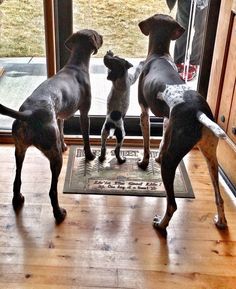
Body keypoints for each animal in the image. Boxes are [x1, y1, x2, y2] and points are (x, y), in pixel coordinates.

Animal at [0, 28, 103, 223]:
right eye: (97, 35)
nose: (102, 37)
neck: (76, 65)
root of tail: (29, 114)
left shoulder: (60, 117)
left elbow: (61, 132)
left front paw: (64, 145)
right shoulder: (84, 113)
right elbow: (86, 137)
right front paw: (90, 155)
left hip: (19, 150)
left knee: (17, 179)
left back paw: (17, 199)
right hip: (55, 159)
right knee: (52, 190)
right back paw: (58, 213)